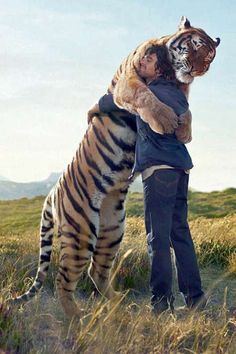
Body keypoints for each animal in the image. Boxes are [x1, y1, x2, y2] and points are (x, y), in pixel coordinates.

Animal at [9, 15, 219, 318]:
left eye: (211, 57)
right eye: (196, 45)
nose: (200, 69)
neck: (170, 72)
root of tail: (51, 193)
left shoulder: (182, 91)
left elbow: (187, 109)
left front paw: (184, 131)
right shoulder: (128, 82)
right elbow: (145, 95)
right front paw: (166, 121)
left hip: (112, 230)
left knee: (96, 272)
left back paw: (120, 304)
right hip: (82, 232)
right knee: (64, 278)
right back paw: (77, 317)